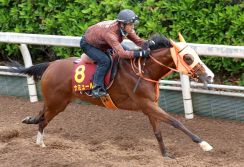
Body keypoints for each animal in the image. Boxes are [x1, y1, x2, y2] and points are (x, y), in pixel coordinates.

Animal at [3, 33, 214, 157]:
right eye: (188, 57)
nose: (210, 76)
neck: (143, 71)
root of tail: (50, 65)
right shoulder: (147, 104)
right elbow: (176, 122)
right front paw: (204, 144)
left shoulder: (149, 106)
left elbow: (158, 132)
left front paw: (165, 155)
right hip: (58, 103)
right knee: (44, 118)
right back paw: (40, 142)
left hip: (56, 101)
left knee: (41, 114)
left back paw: (31, 125)